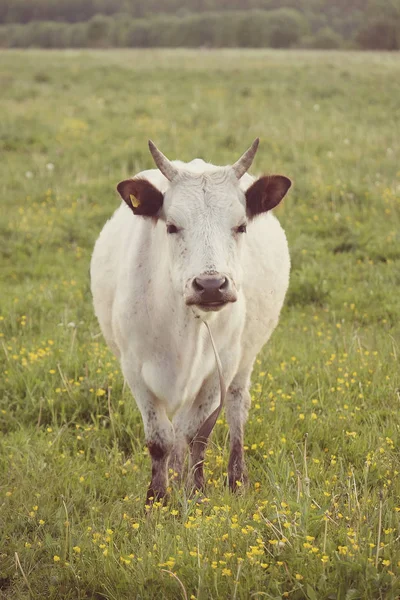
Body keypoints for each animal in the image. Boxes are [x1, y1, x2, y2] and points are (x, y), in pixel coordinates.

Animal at [90, 141, 290, 502]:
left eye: (241, 226)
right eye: (171, 226)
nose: (211, 285)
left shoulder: (219, 367)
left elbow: (196, 433)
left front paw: (195, 492)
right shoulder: (133, 368)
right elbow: (160, 438)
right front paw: (157, 498)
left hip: (244, 360)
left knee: (234, 408)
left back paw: (236, 478)